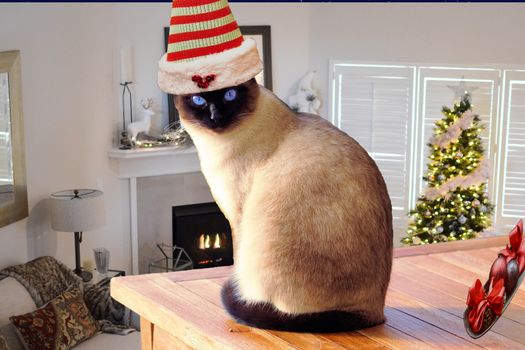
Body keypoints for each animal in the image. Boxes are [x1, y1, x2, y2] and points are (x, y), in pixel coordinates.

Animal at [174, 78, 390, 332]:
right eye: (198, 99)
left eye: (230, 95)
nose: (215, 117)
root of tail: (375, 312)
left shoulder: (237, 216)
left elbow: (236, 259)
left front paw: (238, 288)